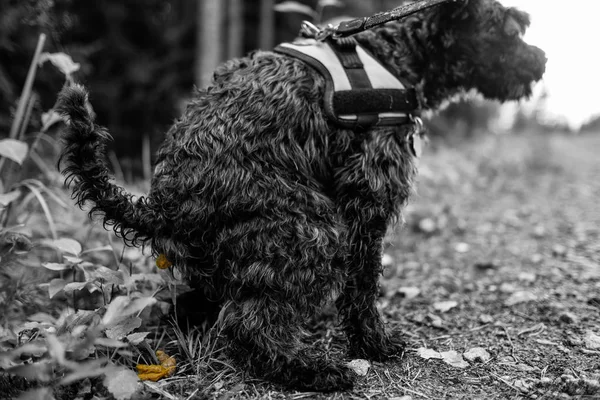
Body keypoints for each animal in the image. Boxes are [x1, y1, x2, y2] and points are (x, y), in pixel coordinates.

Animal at [55, 0, 544, 392]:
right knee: (250, 324)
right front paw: (374, 343)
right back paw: (311, 371)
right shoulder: (367, 197)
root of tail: (163, 206)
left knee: (199, 305)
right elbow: (364, 285)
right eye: (507, 31)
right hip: (308, 227)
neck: (395, 52)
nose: (540, 60)